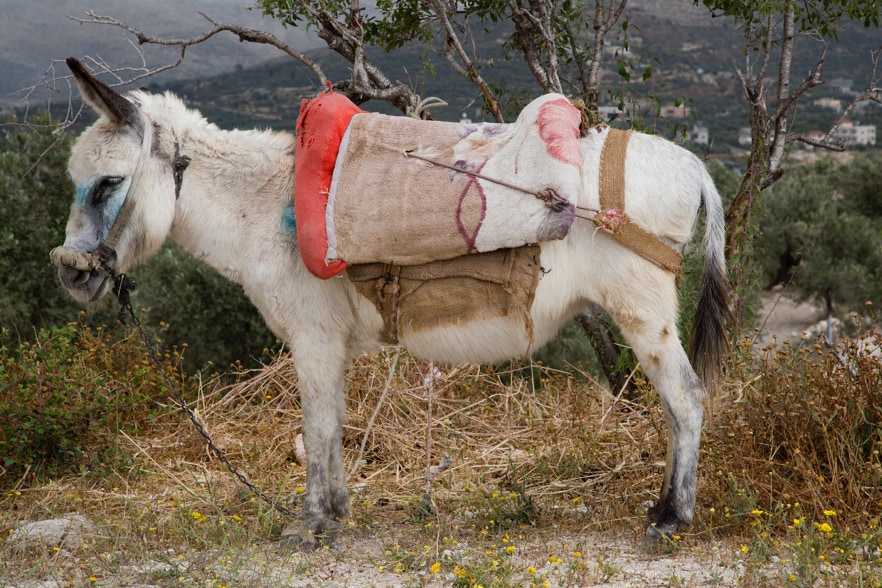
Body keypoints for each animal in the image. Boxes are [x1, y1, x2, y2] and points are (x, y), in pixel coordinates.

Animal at [53, 57, 729, 549]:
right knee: (680, 403)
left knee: (686, 400)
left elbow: (317, 425)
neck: (266, 205)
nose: (70, 274)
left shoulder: (312, 339)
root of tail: (692, 163)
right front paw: (337, 513)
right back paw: (664, 508)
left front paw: (310, 525)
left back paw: (671, 518)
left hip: (642, 308)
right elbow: (332, 424)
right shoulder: (329, 345)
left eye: (109, 183)